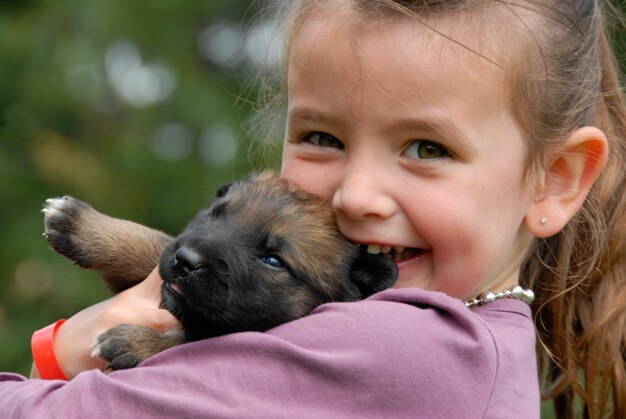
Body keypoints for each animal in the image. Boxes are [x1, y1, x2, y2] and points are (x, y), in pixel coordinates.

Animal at [42, 171, 394, 370]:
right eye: (215, 214)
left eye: (273, 261)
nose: (185, 261)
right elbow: (156, 244)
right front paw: (79, 225)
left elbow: (191, 342)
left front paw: (135, 342)